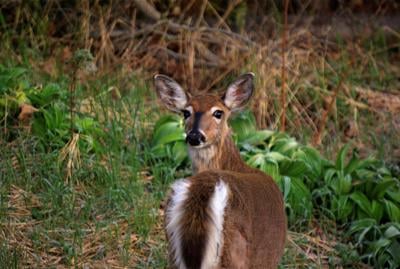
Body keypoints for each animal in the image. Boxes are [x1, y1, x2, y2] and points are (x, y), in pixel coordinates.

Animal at [154, 73, 288, 268]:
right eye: (186, 112)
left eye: (218, 112)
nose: (195, 136)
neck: (238, 165)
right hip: (235, 253)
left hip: (173, 248)